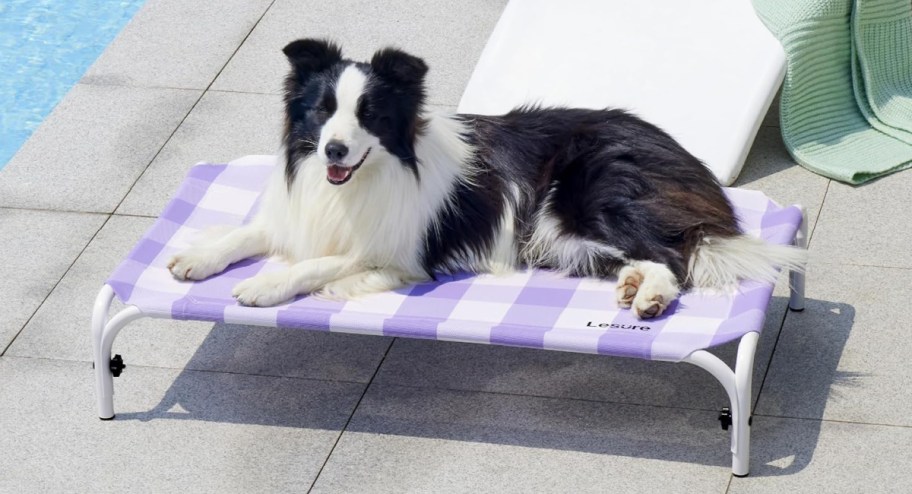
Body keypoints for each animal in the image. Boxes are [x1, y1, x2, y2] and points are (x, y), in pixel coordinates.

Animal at [166, 37, 804, 316]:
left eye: (369, 114)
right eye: (321, 111)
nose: (334, 150)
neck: (367, 179)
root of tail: (685, 158)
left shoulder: (401, 251)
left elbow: (323, 264)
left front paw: (267, 285)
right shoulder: (299, 213)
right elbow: (249, 231)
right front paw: (197, 257)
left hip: (584, 201)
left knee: (676, 255)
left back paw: (651, 296)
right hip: (562, 237)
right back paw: (633, 286)